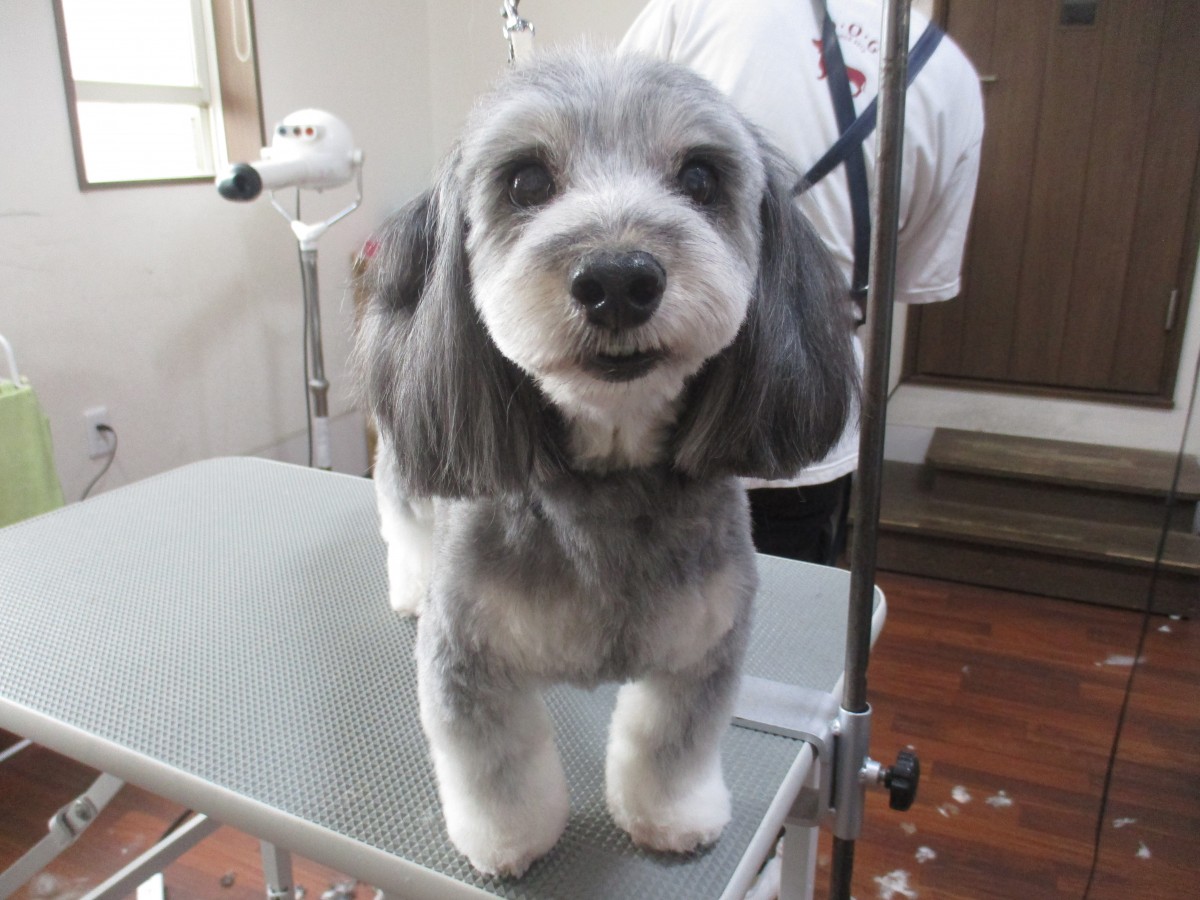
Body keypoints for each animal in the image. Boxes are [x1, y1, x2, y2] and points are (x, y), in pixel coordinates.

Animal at [355, 50, 856, 878]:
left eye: (700, 178)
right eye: (526, 181)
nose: (618, 278)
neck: (610, 477)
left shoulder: (704, 643)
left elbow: (670, 741)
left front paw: (671, 817)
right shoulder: (469, 659)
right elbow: (495, 763)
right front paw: (509, 841)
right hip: (410, 448)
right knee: (404, 521)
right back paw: (408, 584)